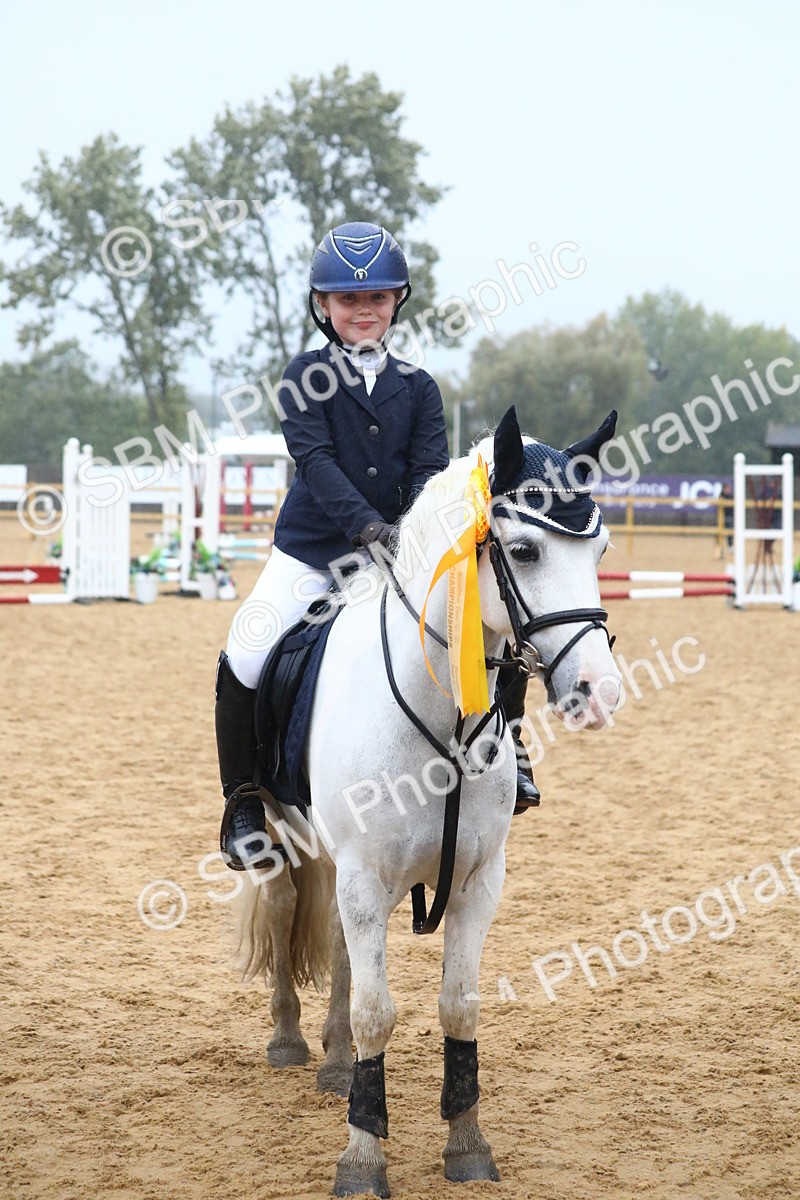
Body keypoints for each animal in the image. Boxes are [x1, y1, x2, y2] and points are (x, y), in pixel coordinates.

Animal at [233, 406, 622, 1197]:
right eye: (524, 550)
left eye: (600, 547)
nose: (600, 693)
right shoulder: (362, 875)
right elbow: (378, 1012)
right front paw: (362, 1157)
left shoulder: (476, 881)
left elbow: (458, 1005)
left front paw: (468, 1144)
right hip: (284, 830)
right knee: (286, 902)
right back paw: (289, 1037)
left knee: (340, 943)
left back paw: (334, 1061)